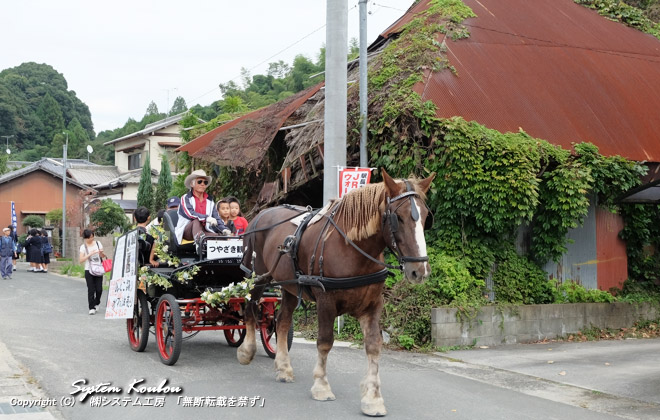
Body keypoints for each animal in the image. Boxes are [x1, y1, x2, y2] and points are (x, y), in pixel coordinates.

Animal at [237, 169, 435, 417]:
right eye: (397, 217)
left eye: (426, 217)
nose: (420, 270)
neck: (353, 249)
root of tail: (261, 214)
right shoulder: (326, 301)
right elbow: (324, 342)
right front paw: (321, 386)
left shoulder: (373, 305)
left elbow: (373, 345)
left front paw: (373, 398)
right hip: (256, 276)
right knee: (250, 310)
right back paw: (247, 351)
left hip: (290, 285)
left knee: (281, 321)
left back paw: (283, 367)